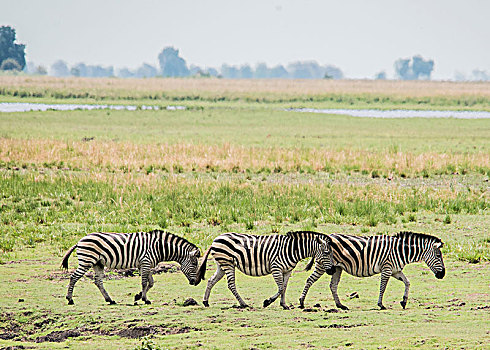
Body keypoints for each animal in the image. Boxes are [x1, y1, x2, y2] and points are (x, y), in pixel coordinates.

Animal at [61, 228, 201, 304]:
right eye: (194, 264)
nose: (196, 283)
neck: (159, 247)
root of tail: (80, 240)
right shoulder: (145, 262)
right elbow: (144, 282)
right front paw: (145, 299)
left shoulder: (145, 264)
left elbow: (151, 283)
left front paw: (139, 296)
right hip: (87, 261)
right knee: (74, 277)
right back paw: (70, 299)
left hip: (98, 263)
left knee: (98, 281)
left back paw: (110, 300)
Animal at [196, 232, 336, 308]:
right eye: (327, 253)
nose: (333, 271)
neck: (293, 249)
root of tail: (215, 239)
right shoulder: (276, 268)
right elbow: (280, 288)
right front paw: (267, 302)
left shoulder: (287, 270)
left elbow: (284, 287)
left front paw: (284, 305)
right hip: (227, 263)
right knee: (231, 285)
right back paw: (243, 304)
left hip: (221, 264)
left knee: (211, 280)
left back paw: (206, 302)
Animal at [300, 232, 446, 308]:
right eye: (439, 256)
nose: (443, 275)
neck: (400, 251)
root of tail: (326, 238)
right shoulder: (387, 268)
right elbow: (383, 287)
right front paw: (381, 304)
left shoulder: (396, 271)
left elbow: (407, 282)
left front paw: (404, 301)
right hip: (323, 265)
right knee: (309, 280)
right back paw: (301, 302)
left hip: (336, 268)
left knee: (333, 285)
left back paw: (340, 305)